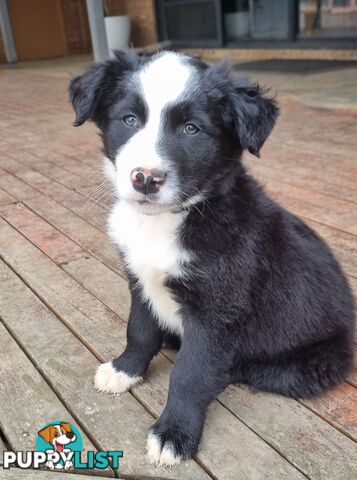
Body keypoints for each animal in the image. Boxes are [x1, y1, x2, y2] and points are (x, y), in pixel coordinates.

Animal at [69, 50, 354, 466]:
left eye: (192, 129)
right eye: (129, 120)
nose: (145, 178)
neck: (171, 218)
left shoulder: (216, 309)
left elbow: (190, 373)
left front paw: (174, 434)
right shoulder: (140, 280)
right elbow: (139, 330)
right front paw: (125, 370)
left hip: (305, 365)